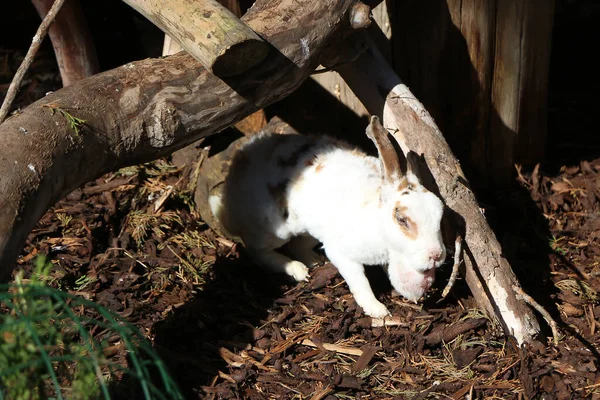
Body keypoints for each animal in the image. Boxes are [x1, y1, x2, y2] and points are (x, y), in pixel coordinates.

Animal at [209, 116, 448, 318]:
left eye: (440, 215)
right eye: (402, 220)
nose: (436, 255)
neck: (375, 219)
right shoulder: (342, 255)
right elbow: (360, 283)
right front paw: (378, 311)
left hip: (310, 229)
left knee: (297, 245)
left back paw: (314, 262)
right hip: (274, 230)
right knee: (258, 252)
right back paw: (298, 270)